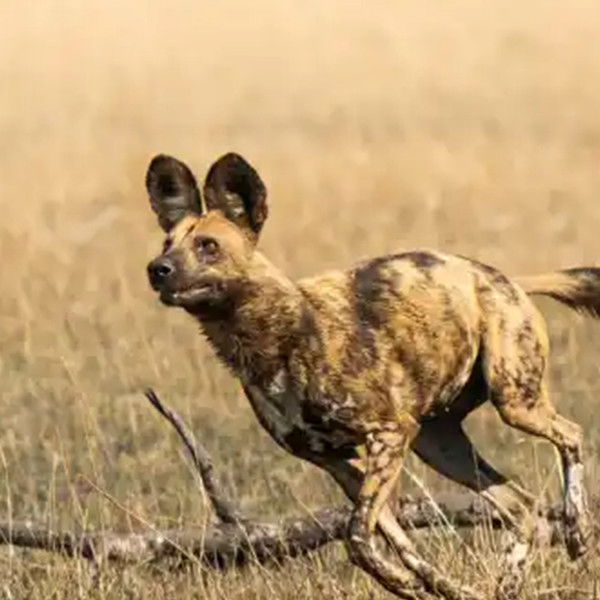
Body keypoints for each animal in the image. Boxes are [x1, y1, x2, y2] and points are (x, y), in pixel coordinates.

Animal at [146, 152, 598, 600]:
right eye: (167, 244)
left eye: (208, 246)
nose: (157, 268)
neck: (277, 336)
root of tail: (505, 279)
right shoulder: (340, 463)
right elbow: (394, 542)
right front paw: (433, 586)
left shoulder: (389, 434)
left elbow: (357, 538)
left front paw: (412, 583)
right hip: (437, 444)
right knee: (524, 508)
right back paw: (508, 583)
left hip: (513, 401)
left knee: (571, 436)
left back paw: (578, 532)